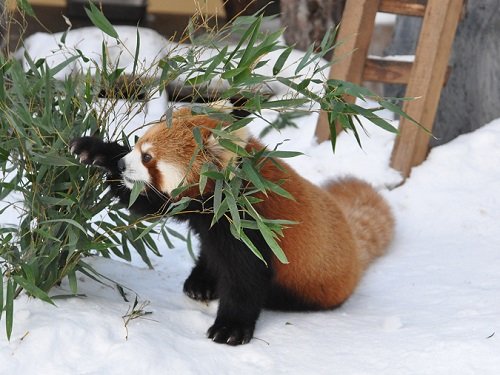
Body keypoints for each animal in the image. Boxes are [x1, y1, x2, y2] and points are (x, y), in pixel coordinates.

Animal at [70, 107, 394, 346]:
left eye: (148, 157)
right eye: (137, 144)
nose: (123, 166)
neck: (229, 192)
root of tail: (354, 247)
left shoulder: (250, 226)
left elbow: (245, 279)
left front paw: (230, 328)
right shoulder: (199, 209)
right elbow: (151, 203)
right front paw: (96, 150)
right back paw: (201, 282)